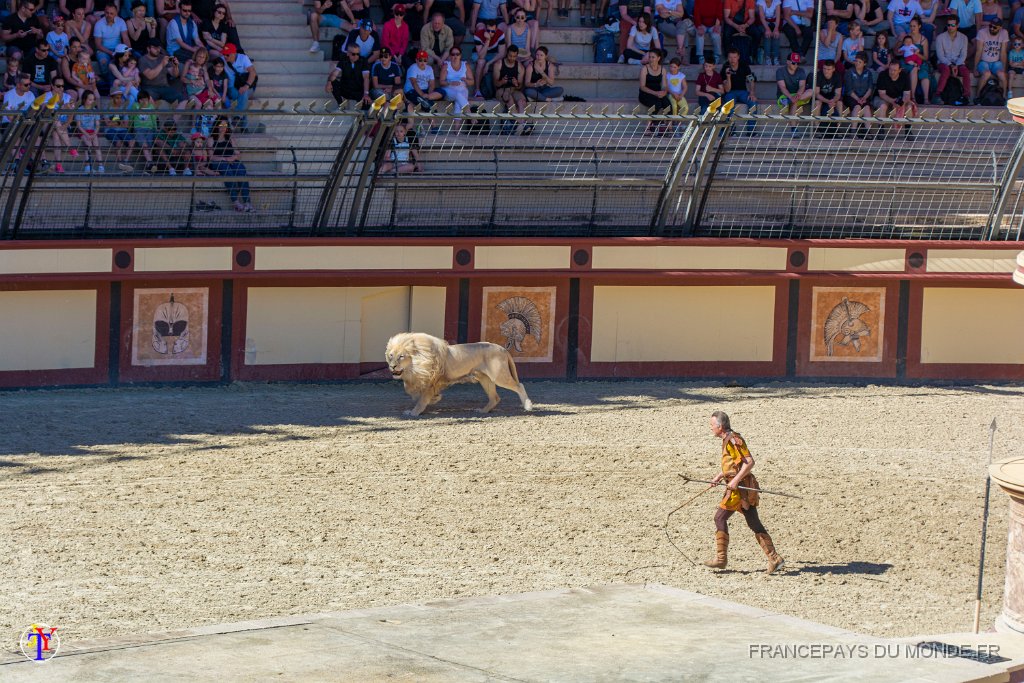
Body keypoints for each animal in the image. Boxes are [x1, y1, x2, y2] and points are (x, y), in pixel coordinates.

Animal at [385, 331, 536, 417]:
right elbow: (416, 395)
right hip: (485, 379)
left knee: (519, 386)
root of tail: (503, 349)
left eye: (401, 356)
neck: (415, 365)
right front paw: (435, 398)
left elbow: (421, 400)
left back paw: (528, 406)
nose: (392, 366)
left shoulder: (430, 382)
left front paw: (413, 413)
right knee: (495, 398)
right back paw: (483, 411)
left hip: (498, 376)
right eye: (391, 355)